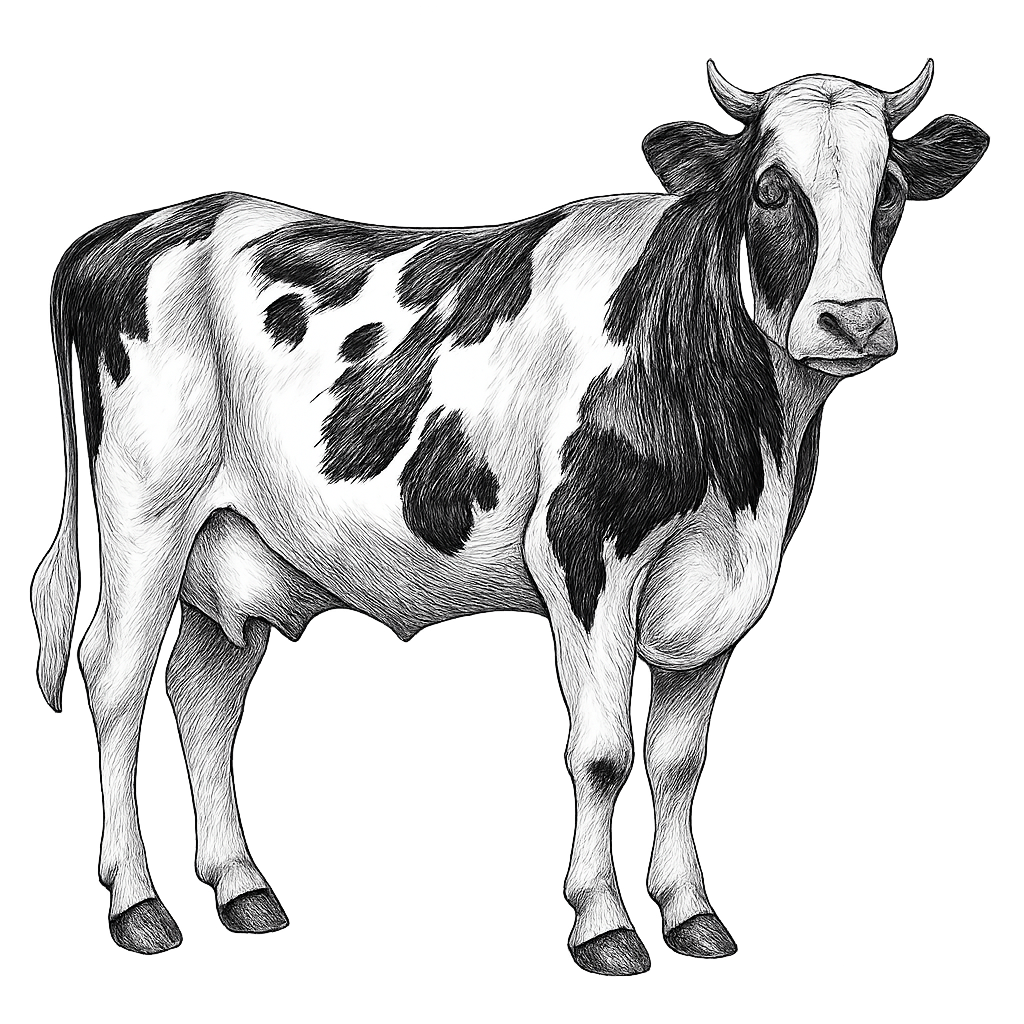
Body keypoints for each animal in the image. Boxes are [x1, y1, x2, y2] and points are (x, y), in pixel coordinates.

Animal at [30, 60, 986, 974]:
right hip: (146, 514)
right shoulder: (582, 552)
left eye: (891, 186)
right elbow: (604, 754)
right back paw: (136, 905)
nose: (851, 321)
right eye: (771, 189)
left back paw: (242, 888)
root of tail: (135, 228)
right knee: (115, 678)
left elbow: (680, 760)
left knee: (204, 696)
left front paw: (691, 913)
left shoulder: (718, 584)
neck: (747, 457)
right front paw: (605, 924)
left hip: (223, 543)